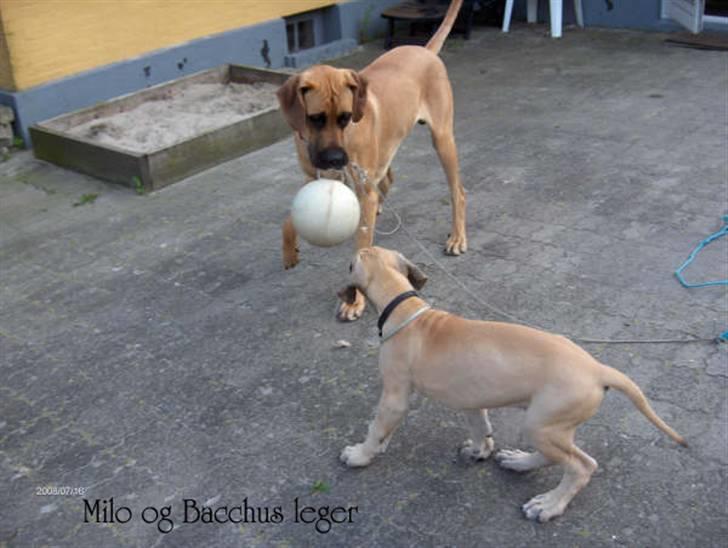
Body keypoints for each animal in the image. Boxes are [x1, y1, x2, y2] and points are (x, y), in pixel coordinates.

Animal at [276, 0, 470, 324]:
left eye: (345, 118)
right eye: (315, 118)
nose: (336, 158)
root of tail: (426, 50)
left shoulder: (358, 186)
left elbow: (361, 247)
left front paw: (355, 301)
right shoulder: (313, 177)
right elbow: (290, 219)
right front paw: (290, 250)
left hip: (442, 140)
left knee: (458, 192)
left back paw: (457, 237)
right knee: (388, 178)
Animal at [336, 247, 688, 524]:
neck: (405, 308)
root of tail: (599, 369)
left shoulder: (395, 395)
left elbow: (376, 427)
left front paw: (362, 453)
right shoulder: (471, 400)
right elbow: (480, 426)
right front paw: (480, 450)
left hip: (542, 424)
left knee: (581, 466)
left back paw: (549, 504)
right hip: (549, 426)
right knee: (556, 456)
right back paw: (520, 462)